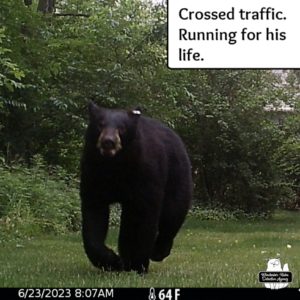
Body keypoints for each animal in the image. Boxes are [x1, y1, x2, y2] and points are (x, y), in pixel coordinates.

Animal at [79, 103, 192, 274]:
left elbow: (144, 217)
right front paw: (113, 261)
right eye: (100, 124)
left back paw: (157, 252)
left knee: (173, 214)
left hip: (177, 178)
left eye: (122, 127)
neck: (114, 165)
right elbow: (93, 217)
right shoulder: (93, 175)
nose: (108, 142)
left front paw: (139, 264)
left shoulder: (145, 174)